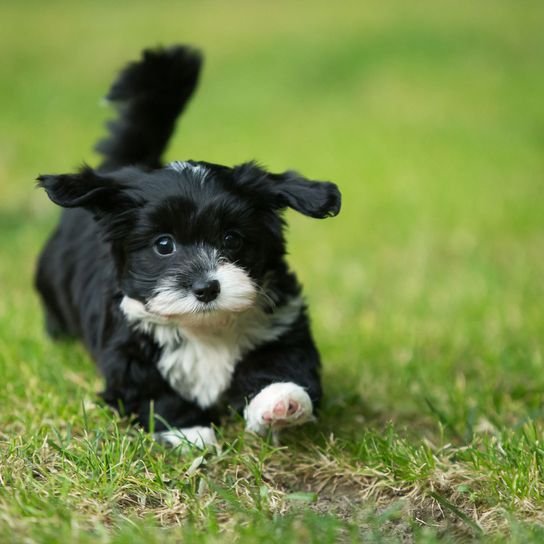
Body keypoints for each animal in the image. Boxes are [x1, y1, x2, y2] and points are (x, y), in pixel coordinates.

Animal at [35, 45, 340, 446]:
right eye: (164, 245)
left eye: (232, 239)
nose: (206, 288)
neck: (205, 327)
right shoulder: (127, 350)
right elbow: (151, 393)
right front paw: (190, 430)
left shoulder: (281, 323)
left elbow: (282, 363)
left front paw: (281, 401)